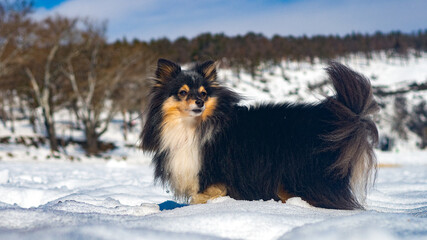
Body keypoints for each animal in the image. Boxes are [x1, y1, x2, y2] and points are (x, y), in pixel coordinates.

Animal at [142, 59, 380, 209]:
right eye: (182, 92)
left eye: (203, 93)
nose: (199, 102)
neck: (192, 127)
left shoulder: (216, 175)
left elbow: (199, 198)